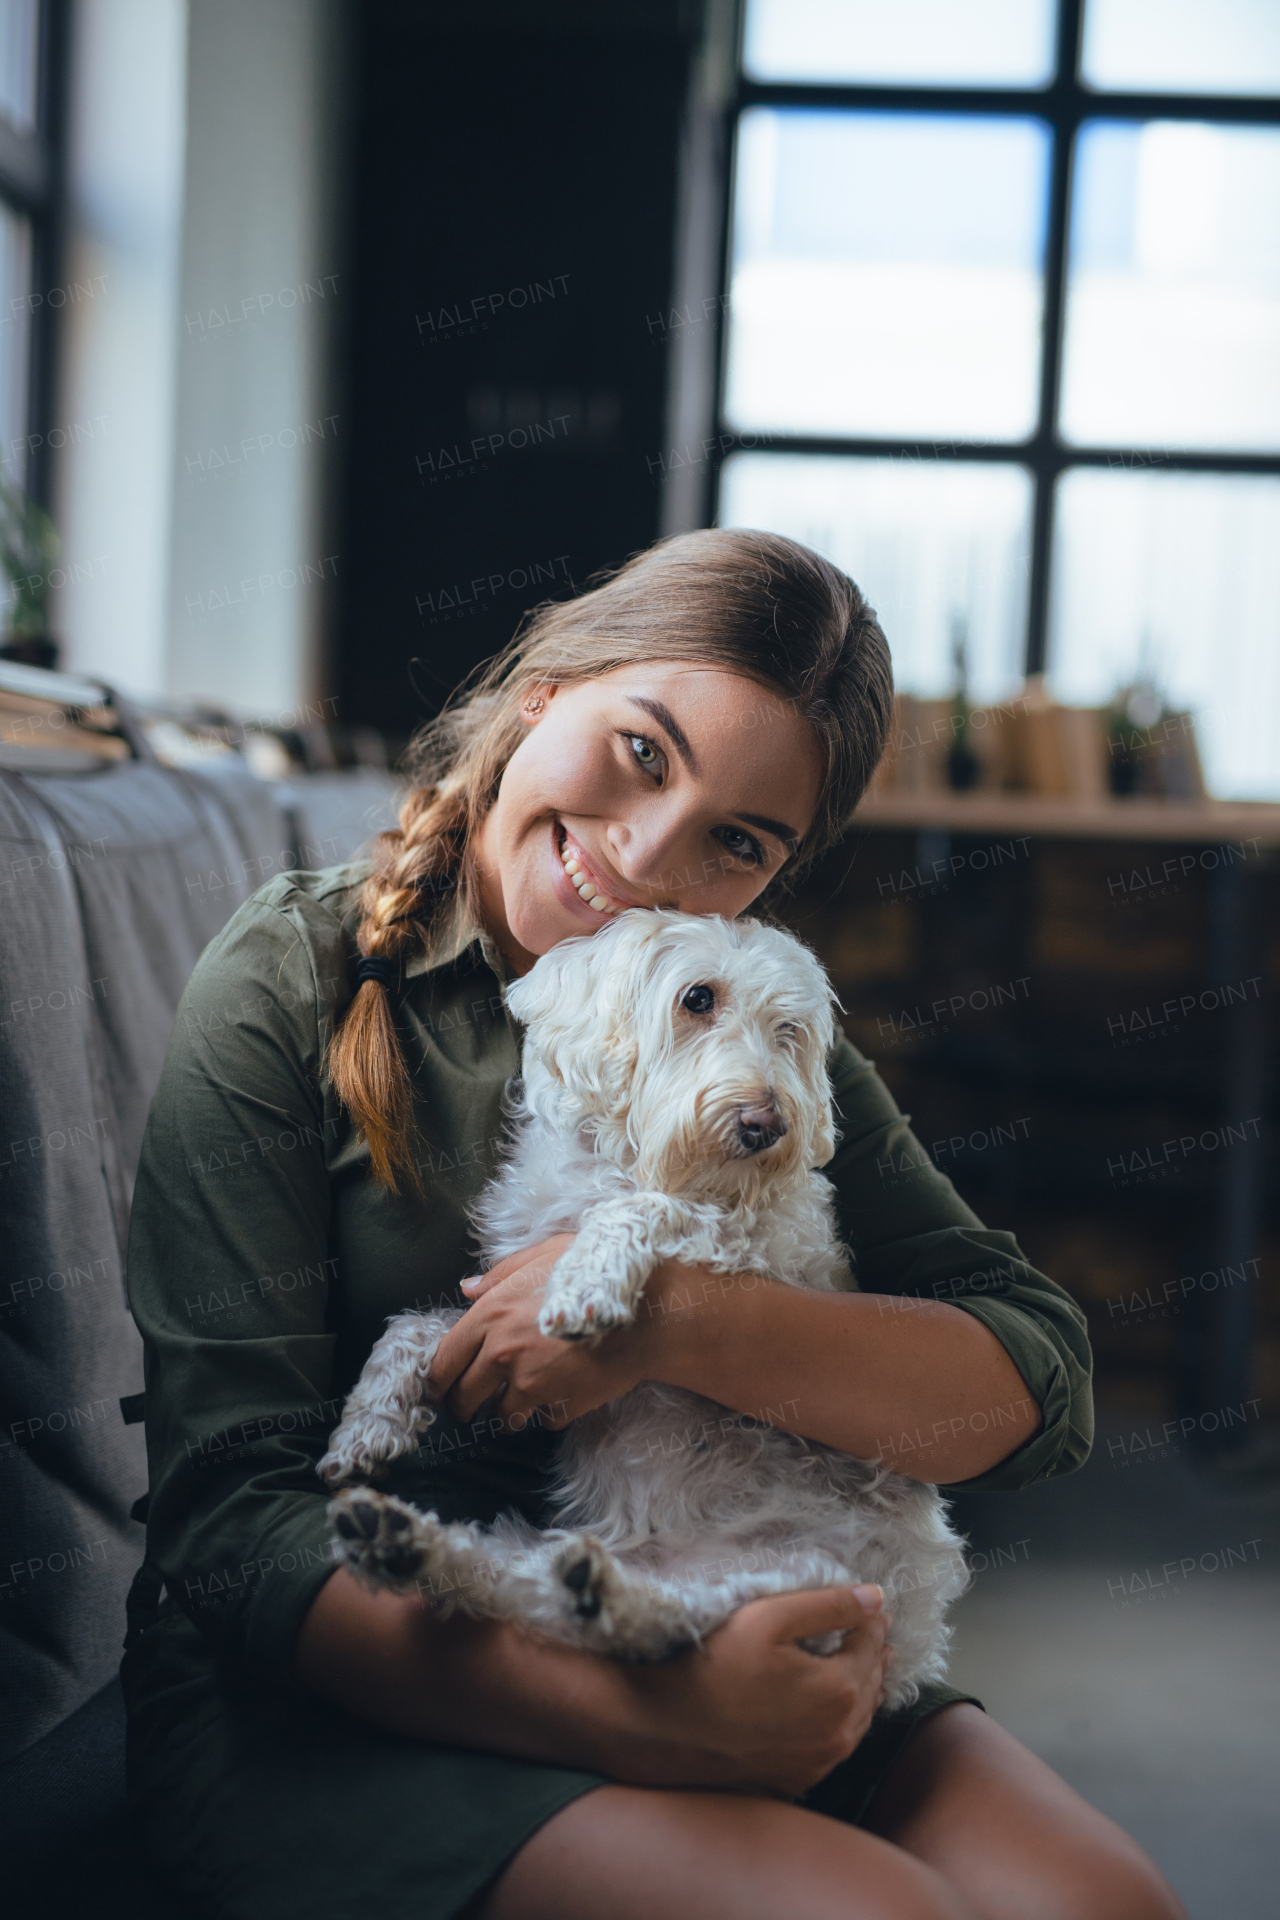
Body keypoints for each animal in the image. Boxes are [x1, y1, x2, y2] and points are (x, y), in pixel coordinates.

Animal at [320, 906, 971, 1704]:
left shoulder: (761, 1247)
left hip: (799, 1582)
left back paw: (595, 1593)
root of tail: (907, 1660)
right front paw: (367, 1423)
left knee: (659, 1625)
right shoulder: (491, 1298)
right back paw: (406, 1546)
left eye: (790, 1029)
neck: (631, 1160)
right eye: (697, 998)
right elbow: (414, 1328)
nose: (767, 1126)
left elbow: (643, 1209)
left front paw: (584, 1282)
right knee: (515, 1587)